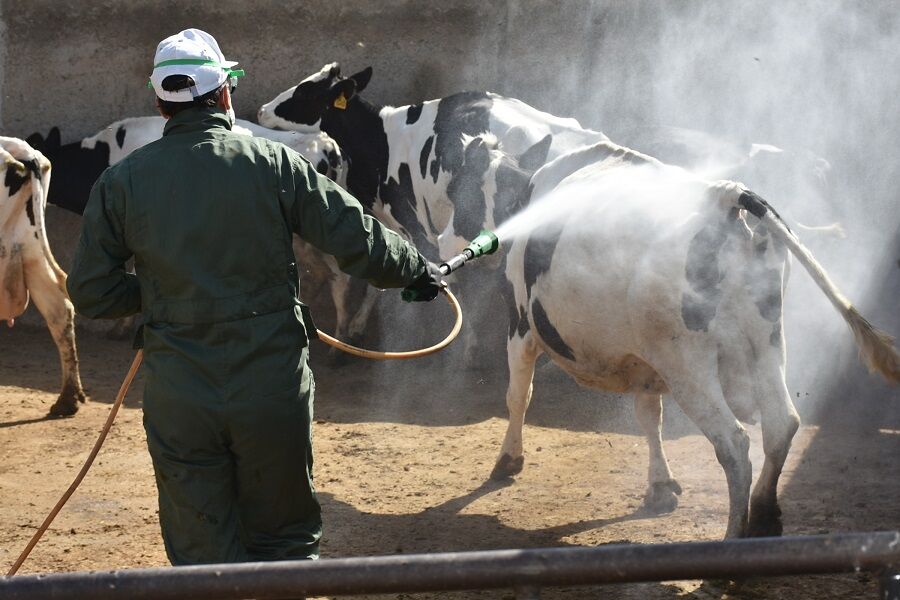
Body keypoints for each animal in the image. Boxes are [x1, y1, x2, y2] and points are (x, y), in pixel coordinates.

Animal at [496, 142, 896, 540]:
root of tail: (723, 197)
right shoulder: (646, 362)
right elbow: (649, 416)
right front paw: (660, 486)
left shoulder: (520, 324)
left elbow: (519, 394)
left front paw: (508, 459)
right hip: (766, 343)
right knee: (781, 424)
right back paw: (764, 515)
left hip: (687, 364)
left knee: (734, 443)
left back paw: (734, 534)